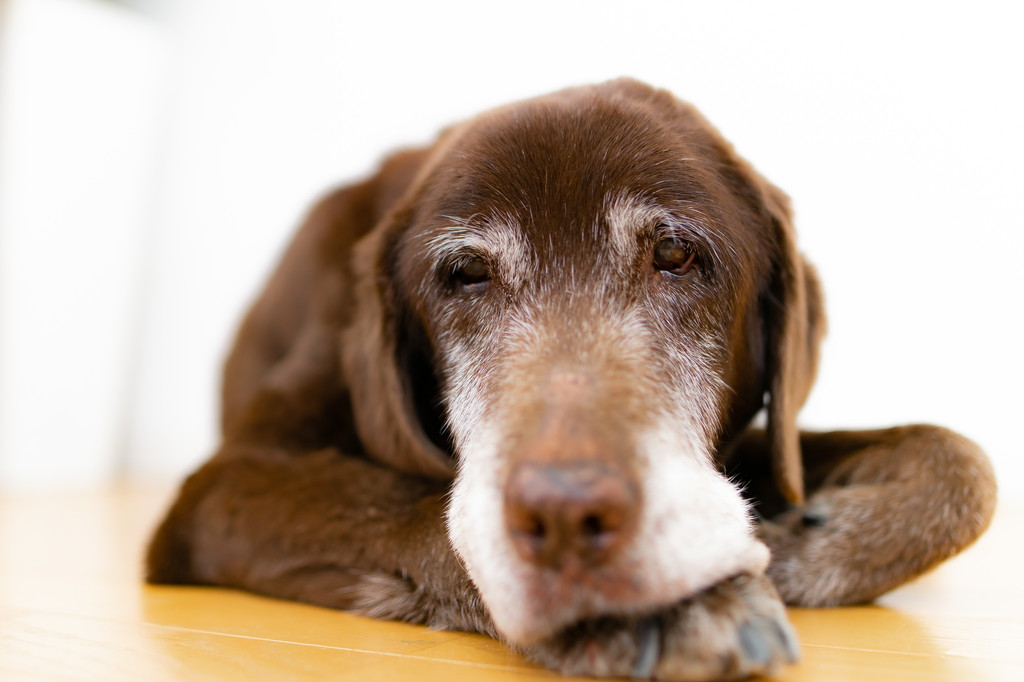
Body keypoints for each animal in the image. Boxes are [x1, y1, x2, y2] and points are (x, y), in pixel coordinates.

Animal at [148, 78, 995, 675]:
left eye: (677, 255)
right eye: (465, 273)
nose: (567, 519)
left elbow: (966, 466)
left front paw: (803, 536)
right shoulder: (224, 486)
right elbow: (410, 506)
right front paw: (663, 606)